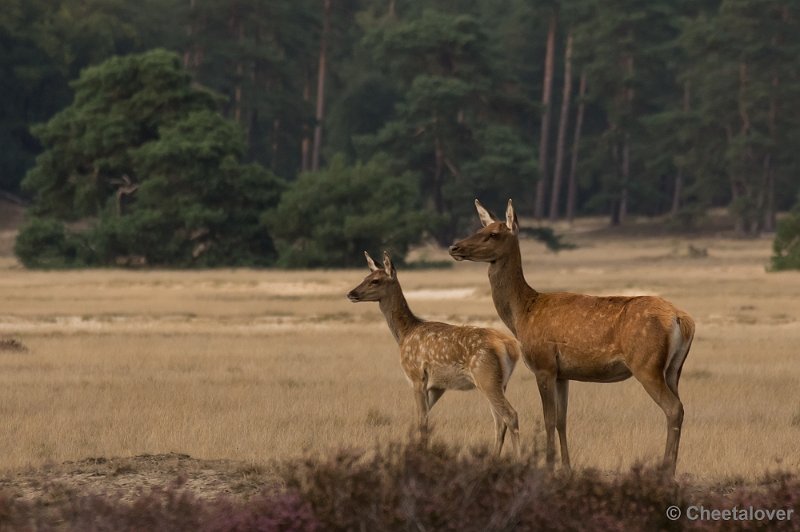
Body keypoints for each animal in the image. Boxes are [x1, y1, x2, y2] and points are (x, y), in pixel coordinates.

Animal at [346, 251, 520, 456]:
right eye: (365, 277)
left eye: (375, 280)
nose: (351, 294)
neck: (405, 333)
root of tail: (510, 346)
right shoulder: (438, 386)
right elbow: (423, 419)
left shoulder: (417, 376)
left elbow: (422, 421)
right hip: (500, 382)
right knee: (499, 421)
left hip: (485, 376)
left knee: (510, 415)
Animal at [450, 200, 692, 474]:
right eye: (480, 227)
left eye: (493, 234)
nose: (454, 247)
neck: (522, 314)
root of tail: (682, 320)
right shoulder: (563, 373)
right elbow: (561, 420)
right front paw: (566, 466)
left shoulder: (543, 365)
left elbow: (547, 419)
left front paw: (547, 464)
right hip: (673, 369)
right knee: (680, 407)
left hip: (646, 364)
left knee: (673, 408)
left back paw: (667, 471)